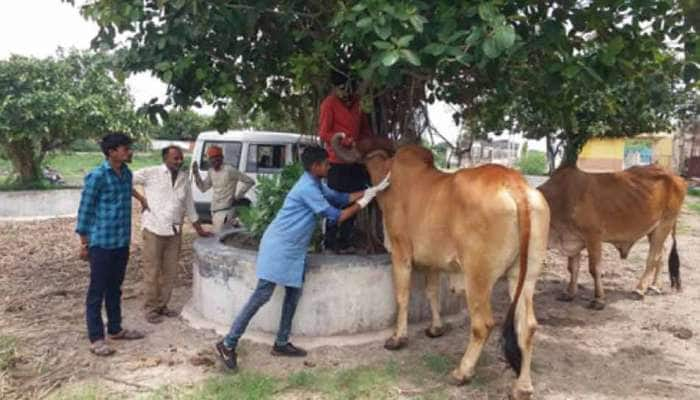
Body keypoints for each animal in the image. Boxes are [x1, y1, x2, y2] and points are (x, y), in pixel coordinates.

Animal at [334, 135, 552, 400]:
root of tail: (515, 184)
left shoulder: (400, 252)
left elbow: (402, 296)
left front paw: (398, 338)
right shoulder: (433, 262)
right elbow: (431, 293)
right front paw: (435, 328)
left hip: (477, 276)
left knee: (483, 324)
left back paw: (462, 372)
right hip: (524, 277)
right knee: (527, 326)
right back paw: (522, 386)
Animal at [540, 164, 688, 308]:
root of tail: (675, 176)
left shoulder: (593, 236)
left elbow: (594, 269)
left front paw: (598, 299)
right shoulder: (572, 240)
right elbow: (572, 268)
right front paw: (569, 293)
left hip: (665, 223)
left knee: (653, 257)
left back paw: (640, 289)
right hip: (653, 229)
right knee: (661, 253)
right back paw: (655, 286)